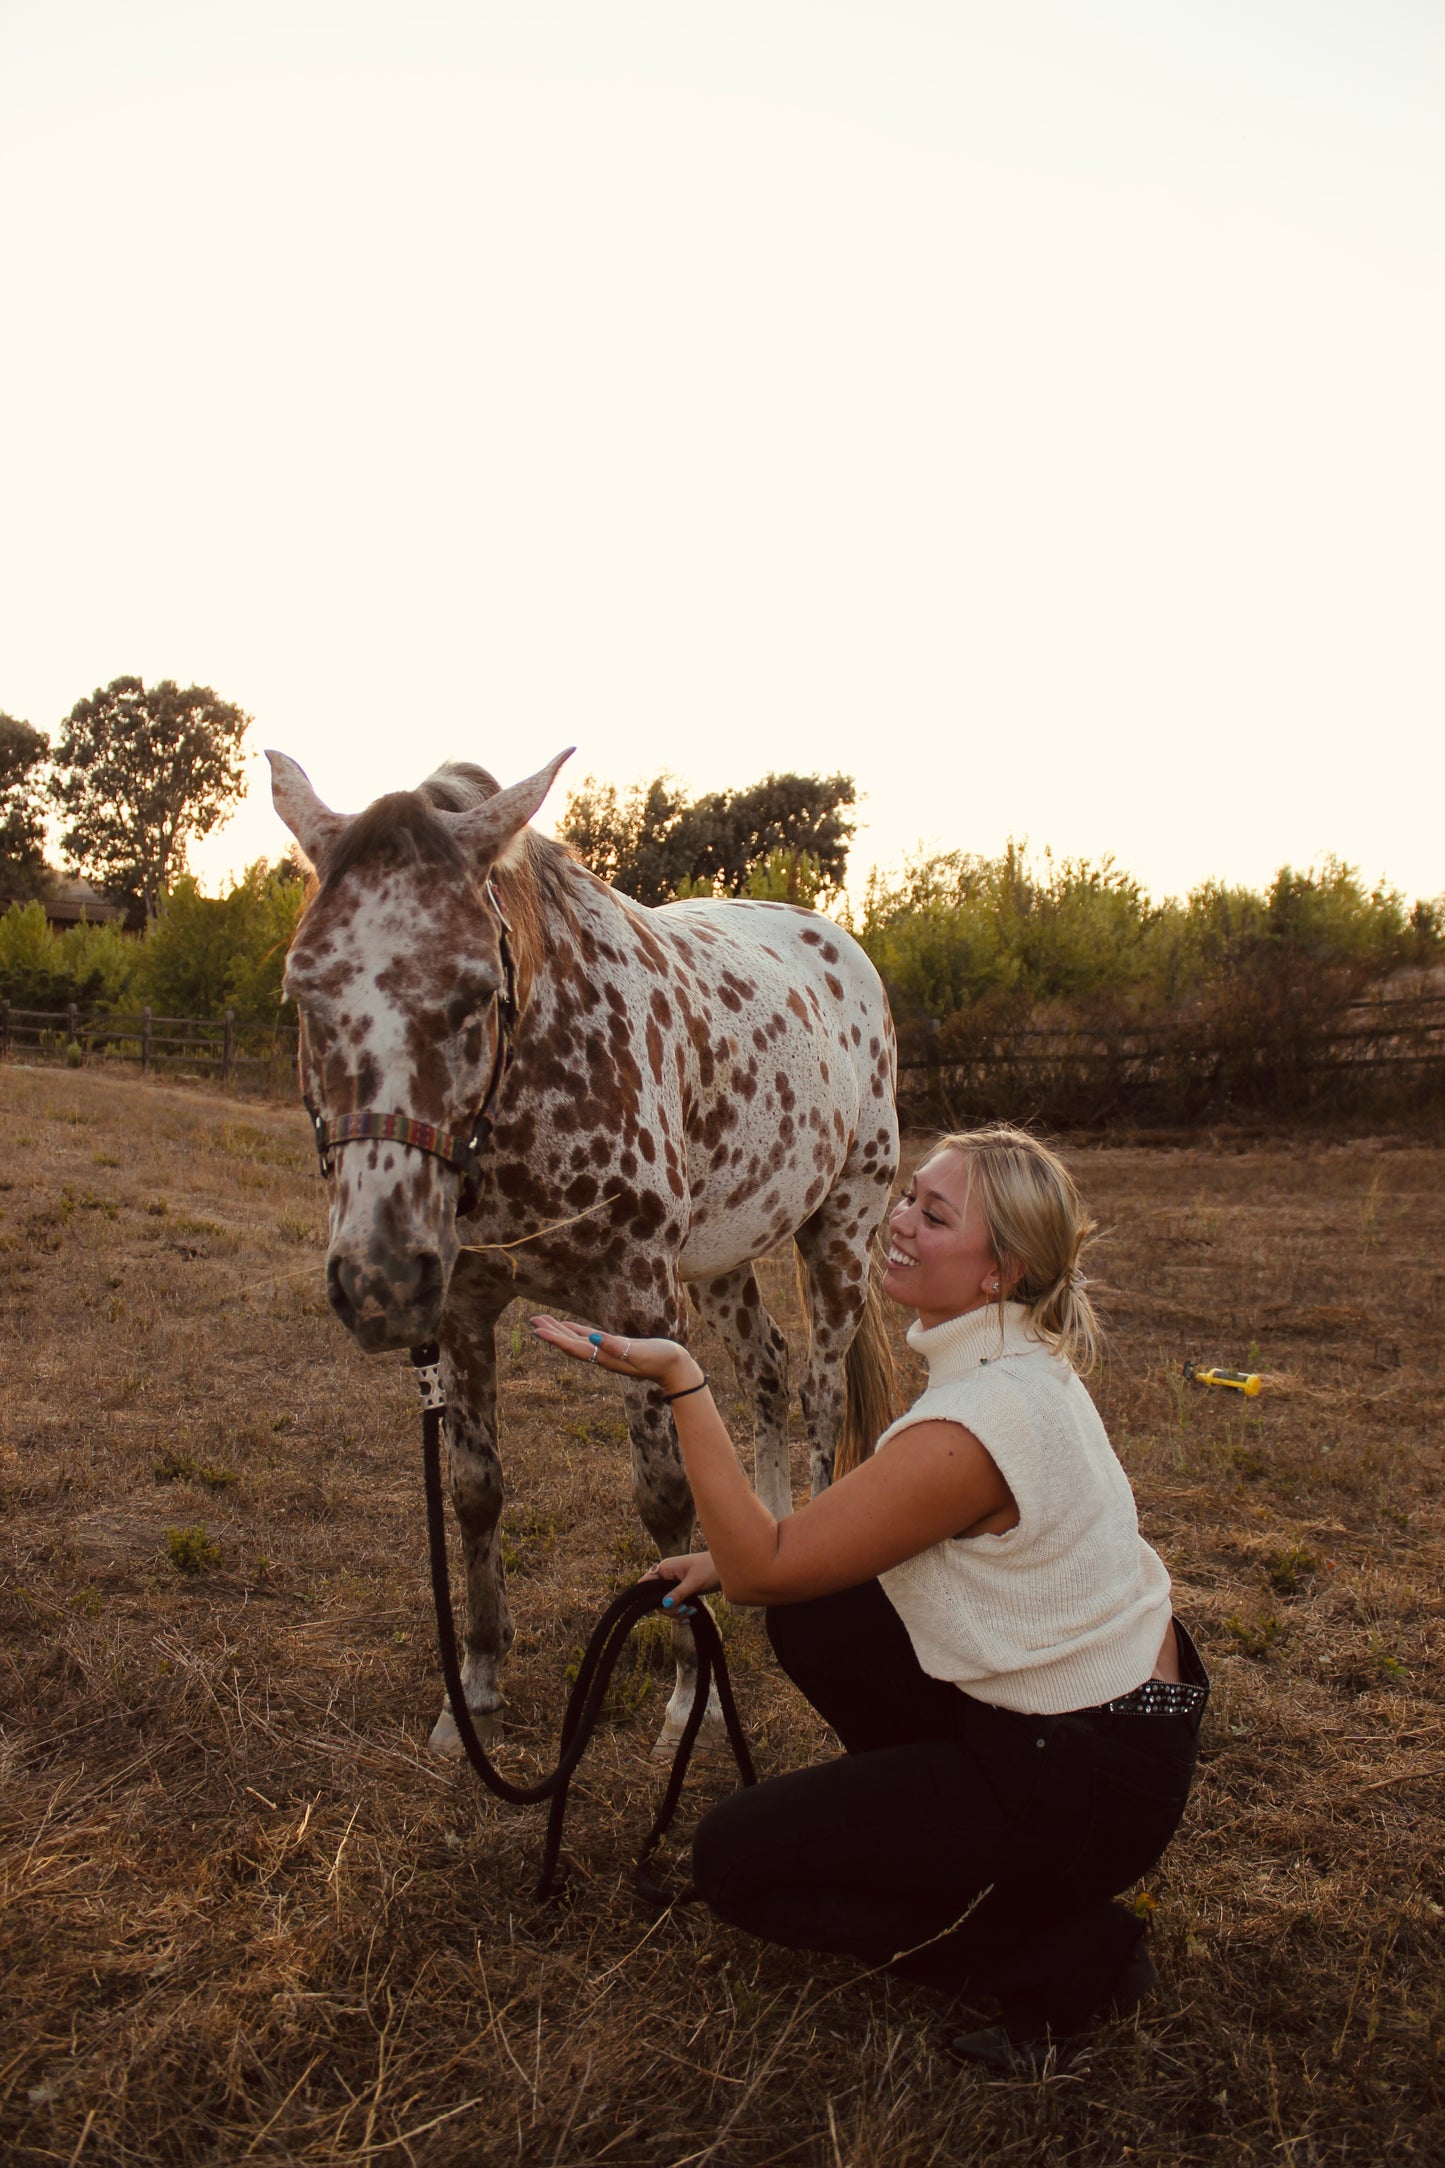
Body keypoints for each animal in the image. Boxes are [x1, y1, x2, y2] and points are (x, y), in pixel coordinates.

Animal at [270, 741, 896, 1743]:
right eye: (303, 989)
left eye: (476, 992)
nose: (380, 1282)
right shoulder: (464, 1309)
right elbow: (475, 1490)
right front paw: (476, 1687)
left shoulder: (638, 1299)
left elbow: (664, 1498)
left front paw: (685, 1698)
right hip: (721, 1262)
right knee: (766, 1372)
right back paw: (769, 1549)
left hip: (840, 1231)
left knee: (820, 1396)